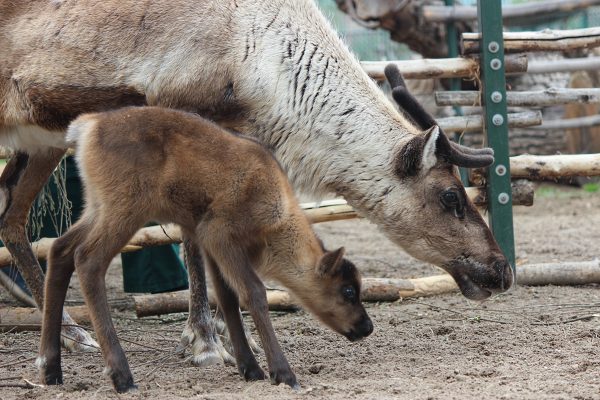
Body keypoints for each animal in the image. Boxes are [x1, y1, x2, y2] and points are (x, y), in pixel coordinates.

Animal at [37, 105, 372, 390]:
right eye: (348, 291)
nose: (367, 326)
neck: (278, 214)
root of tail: (89, 126)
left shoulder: (210, 244)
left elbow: (226, 297)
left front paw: (250, 369)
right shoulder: (219, 234)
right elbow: (254, 292)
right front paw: (283, 373)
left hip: (97, 208)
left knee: (60, 250)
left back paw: (50, 368)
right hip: (125, 212)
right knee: (88, 260)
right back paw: (122, 376)